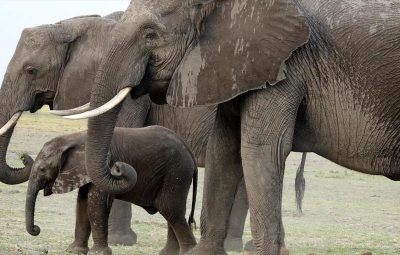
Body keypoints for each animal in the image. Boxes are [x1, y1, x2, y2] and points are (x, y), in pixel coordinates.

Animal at [25, 126, 198, 255]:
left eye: (42, 169)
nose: (36, 229)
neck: (73, 138)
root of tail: (189, 151)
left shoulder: (103, 168)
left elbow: (96, 206)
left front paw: (97, 253)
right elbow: (82, 204)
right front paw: (74, 251)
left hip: (177, 172)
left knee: (170, 209)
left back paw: (189, 252)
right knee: (172, 212)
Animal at [55, 0, 400, 254]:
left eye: (150, 34)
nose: (119, 168)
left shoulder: (286, 64)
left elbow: (261, 149)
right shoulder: (233, 63)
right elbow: (223, 149)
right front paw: (204, 253)